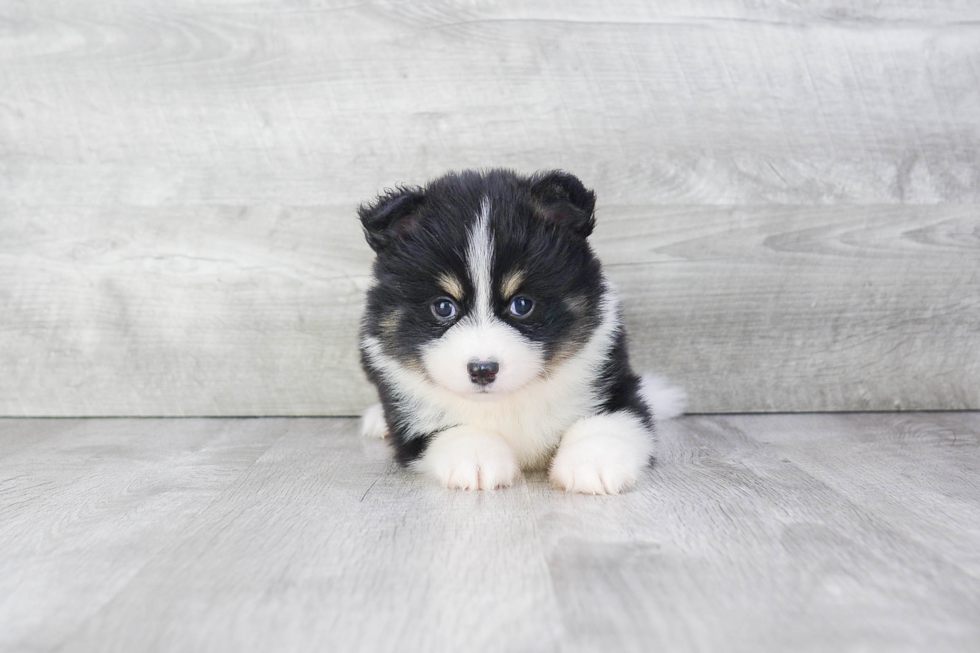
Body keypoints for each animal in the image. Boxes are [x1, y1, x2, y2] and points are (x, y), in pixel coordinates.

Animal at [356, 171, 684, 492]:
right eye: (444, 307)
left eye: (522, 304)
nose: (483, 370)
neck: (509, 400)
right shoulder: (409, 418)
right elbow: (448, 428)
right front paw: (477, 458)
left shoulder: (613, 383)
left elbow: (611, 420)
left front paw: (593, 462)